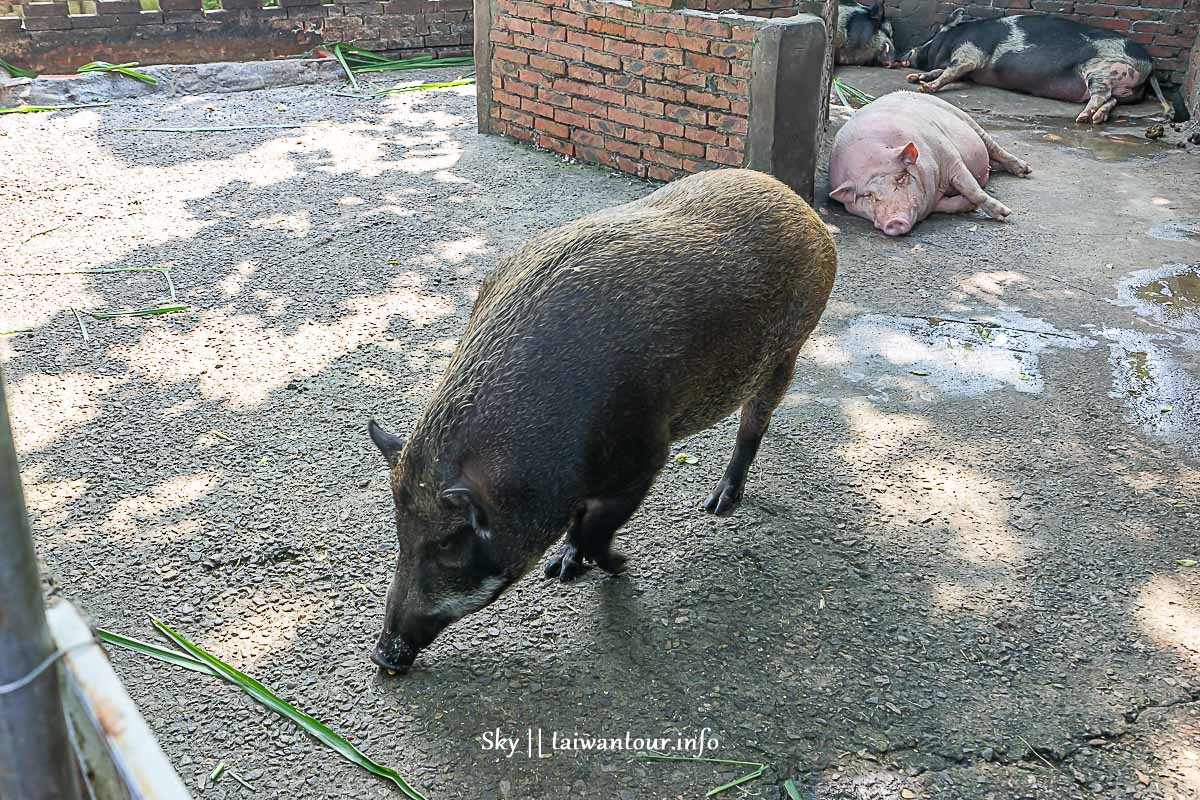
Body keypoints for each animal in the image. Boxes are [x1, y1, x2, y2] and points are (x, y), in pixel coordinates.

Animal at [364, 170, 835, 676]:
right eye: (400, 530)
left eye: (450, 542)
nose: (382, 654)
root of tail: (802, 209)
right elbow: (580, 528)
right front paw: (562, 570)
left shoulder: (645, 457)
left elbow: (595, 530)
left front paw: (618, 565)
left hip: (787, 351)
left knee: (753, 426)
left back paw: (718, 504)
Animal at [825, 91, 1032, 235]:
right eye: (868, 195)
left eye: (901, 178)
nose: (894, 221)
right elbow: (951, 205)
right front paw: (970, 206)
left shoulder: (951, 158)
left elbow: (972, 188)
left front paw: (1005, 214)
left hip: (967, 120)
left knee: (995, 148)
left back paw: (1025, 170)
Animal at [902, 11, 1171, 125]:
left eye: (935, 33)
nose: (907, 53)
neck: (956, 38)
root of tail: (1149, 63)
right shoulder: (969, 69)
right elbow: (942, 71)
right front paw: (914, 77)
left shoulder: (971, 54)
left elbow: (950, 71)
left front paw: (925, 88)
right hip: (1121, 87)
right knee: (1111, 100)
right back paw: (1096, 118)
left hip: (1103, 70)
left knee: (1101, 95)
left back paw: (1083, 118)